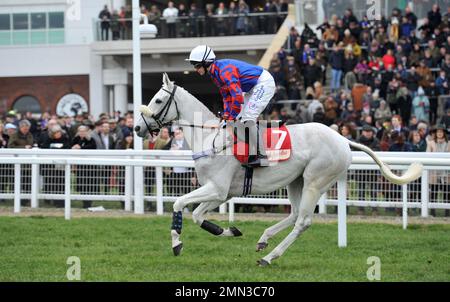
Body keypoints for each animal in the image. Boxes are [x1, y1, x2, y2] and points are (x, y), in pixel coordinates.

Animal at [134, 74, 422, 266]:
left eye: (158, 100)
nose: (137, 128)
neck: (210, 138)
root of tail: (343, 139)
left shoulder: (217, 188)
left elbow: (179, 204)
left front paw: (176, 243)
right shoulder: (222, 193)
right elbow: (196, 215)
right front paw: (229, 231)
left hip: (315, 180)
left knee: (303, 221)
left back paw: (270, 256)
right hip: (296, 181)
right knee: (294, 215)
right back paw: (264, 239)